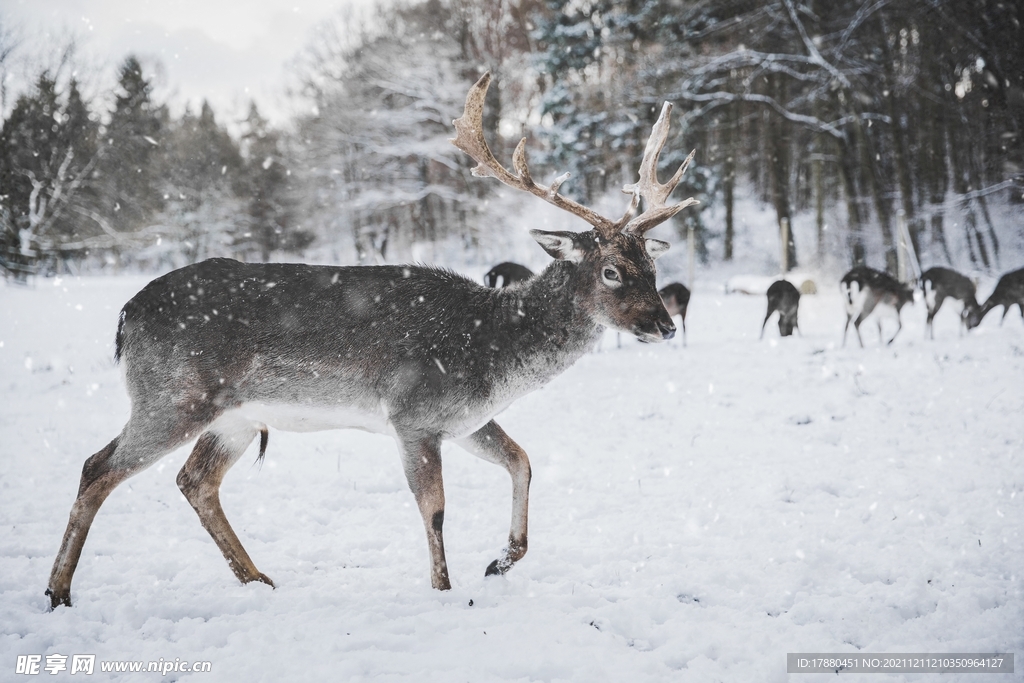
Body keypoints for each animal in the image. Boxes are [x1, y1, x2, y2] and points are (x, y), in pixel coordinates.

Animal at [41, 70, 696, 610]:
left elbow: (523, 461)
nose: (664, 325)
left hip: (234, 417)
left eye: (652, 264)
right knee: (97, 467)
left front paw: (500, 561)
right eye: (610, 270)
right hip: (173, 395)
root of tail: (126, 315)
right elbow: (435, 509)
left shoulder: (466, 419)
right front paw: (444, 591)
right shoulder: (414, 413)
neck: (492, 352)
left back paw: (259, 580)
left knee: (194, 481)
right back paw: (59, 591)